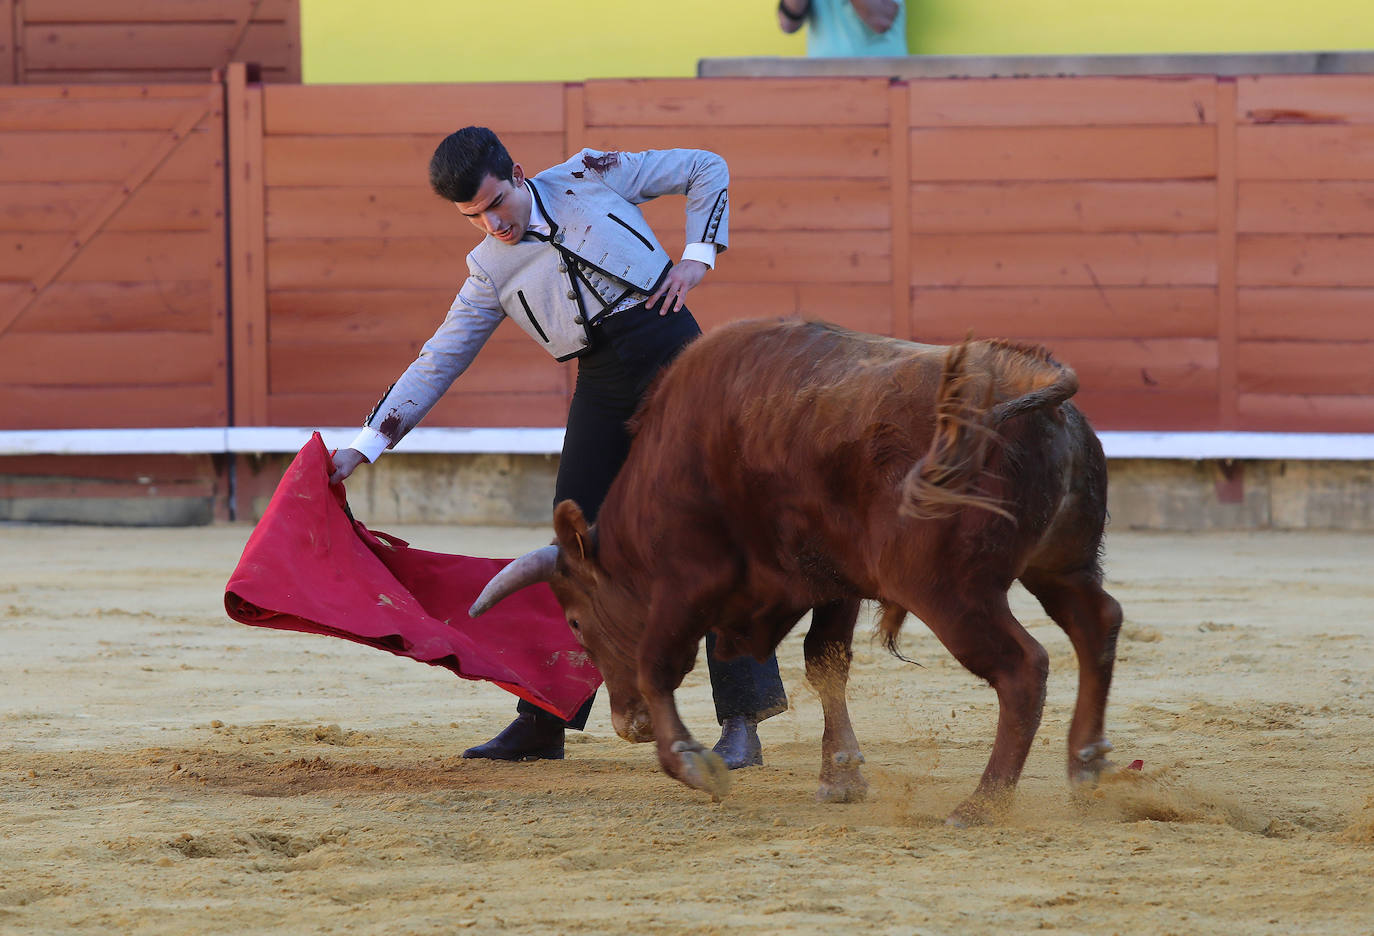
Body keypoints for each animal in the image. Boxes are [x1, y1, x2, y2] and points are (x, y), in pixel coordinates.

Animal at [469, 317, 1115, 819]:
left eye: (576, 622)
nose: (629, 725)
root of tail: (1040, 391)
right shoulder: (834, 579)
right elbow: (825, 663)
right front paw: (841, 776)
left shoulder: (688, 582)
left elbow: (657, 666)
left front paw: (695, 766)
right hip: (1062, 566)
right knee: (1097, 623)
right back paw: (1086, 763)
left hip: (950, 591)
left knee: (1023, 667)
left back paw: (982, 805)